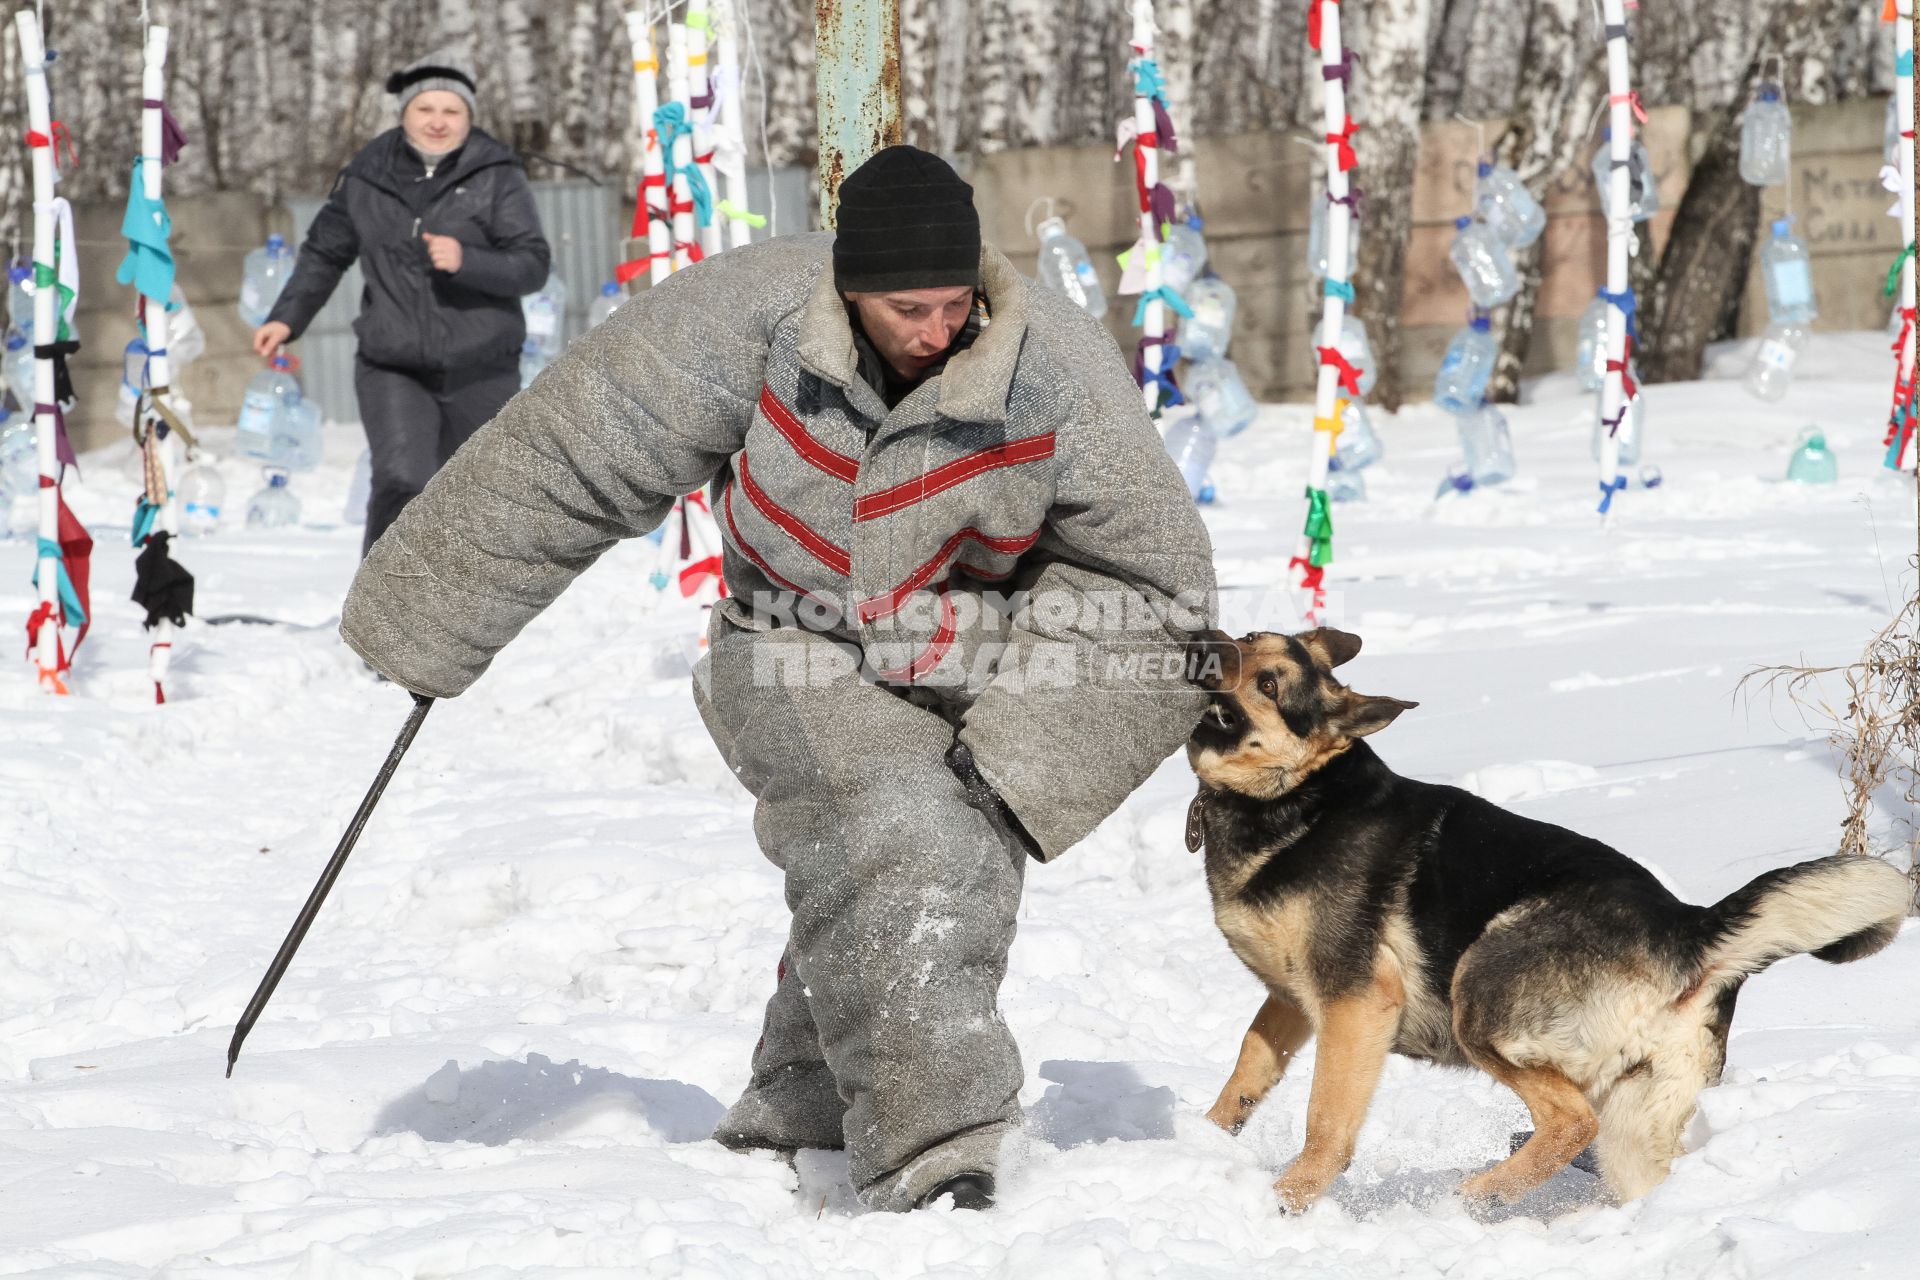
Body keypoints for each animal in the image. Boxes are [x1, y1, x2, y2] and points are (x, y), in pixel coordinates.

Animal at [1182, 629, 1904, 1212]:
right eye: (1249, 637)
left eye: (1270, 683)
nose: (1200, 637)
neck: (1298, 796)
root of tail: (1686, 927)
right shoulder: (1291, 1001)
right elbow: (1247, 1071)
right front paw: (1198, 1143)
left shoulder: (1356, 1002)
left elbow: (1327, 1121)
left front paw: (1288, 1200)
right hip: (1637, 1120)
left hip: (1478, 997)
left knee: (1570, 1121)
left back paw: (1480, 1195)